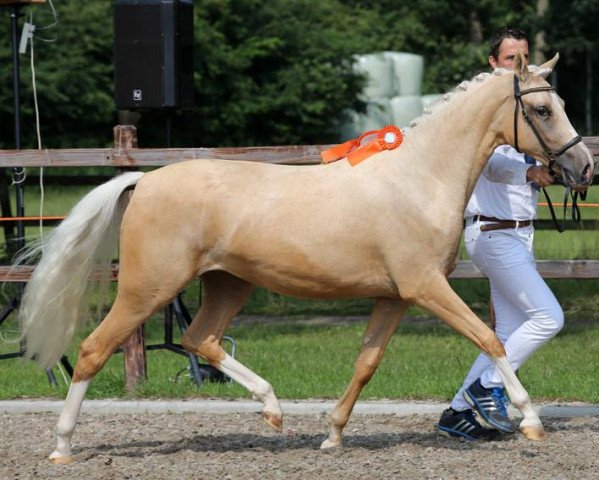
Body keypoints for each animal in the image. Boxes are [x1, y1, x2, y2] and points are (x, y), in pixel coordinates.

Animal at [19, 52, 596, 462]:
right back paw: (62, 446)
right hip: (149, 288)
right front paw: (530, 421)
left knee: (200, 339)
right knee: (93, 349)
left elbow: (366, 362)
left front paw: (333, 435)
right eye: (542, 109)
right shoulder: (426, 287)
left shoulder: (393, 297)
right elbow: (489, 338)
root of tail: (143, 180)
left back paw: (274, 411)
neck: (419, 180)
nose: (584, 168)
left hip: (228, 283)